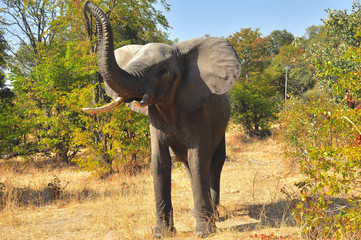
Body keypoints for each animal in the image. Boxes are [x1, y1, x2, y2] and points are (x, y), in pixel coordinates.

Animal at [81, 1, 239, 238]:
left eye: (163, 71)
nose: (86, 5)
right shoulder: (155, 116)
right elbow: (159, 162)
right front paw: (162, 233)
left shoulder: (199, 111)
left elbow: (198, 159)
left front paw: (204, 232)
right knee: (187, 163)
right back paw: (197, 213)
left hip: (221, 122)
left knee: (213, 161)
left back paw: (216, 216)